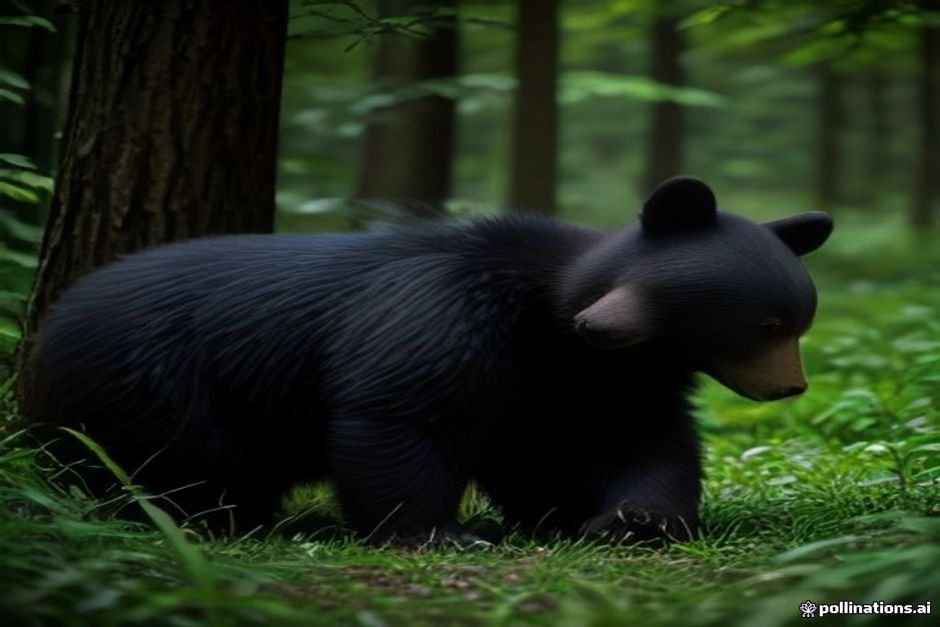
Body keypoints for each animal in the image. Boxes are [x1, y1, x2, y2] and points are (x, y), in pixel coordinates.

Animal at [21, 176, 833, 544]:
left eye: (800, 321)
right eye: (765, 324)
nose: (792, 388)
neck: (558, 322)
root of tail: (48, 328)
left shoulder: (596, 377)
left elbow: (635, 440)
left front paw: (630, 519)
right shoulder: (440, 314)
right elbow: (401, 413)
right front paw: (440, 531)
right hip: (153, 383)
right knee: (178, 460)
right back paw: (209, 518)